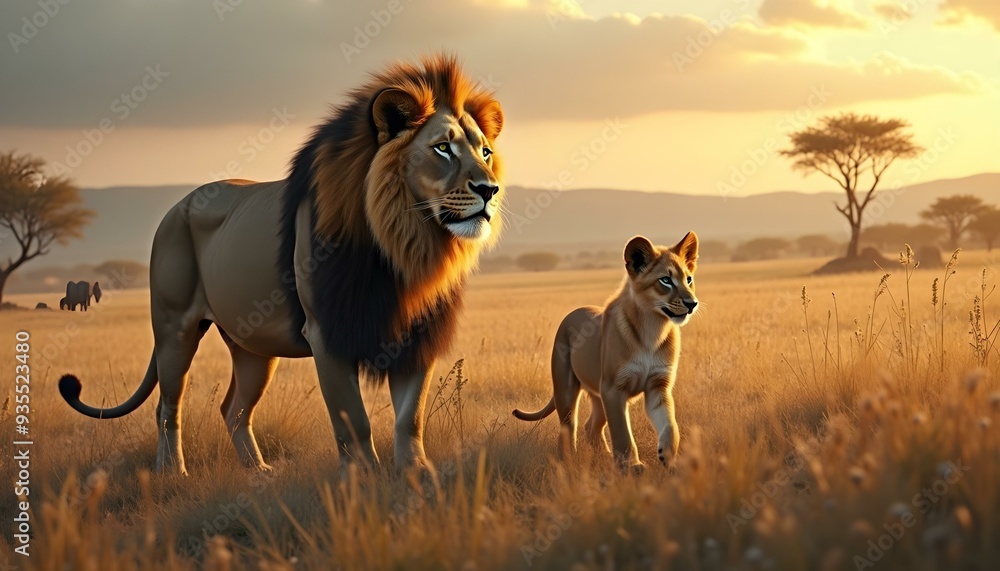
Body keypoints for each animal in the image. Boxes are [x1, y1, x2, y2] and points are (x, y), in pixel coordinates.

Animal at [58, 55, 505, 476]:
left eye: (485, 152)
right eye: (443, 148)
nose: (490, 189)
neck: (405, 245)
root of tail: (177, 206)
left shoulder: (417, 334)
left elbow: (409, 419)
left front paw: (417, 476)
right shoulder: (326, 333)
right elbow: (353, 421)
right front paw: (362, 481)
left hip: (252, 345)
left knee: (233, 409)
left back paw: (259, 472)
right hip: (174, 328)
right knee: (168, 406)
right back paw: (173, 472)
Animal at [513, 232, 699, 471]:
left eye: (689, 279)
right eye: (665, 280)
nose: (692, 303)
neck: (653, 327)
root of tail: (574, 312)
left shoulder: (658, 385)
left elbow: (671, 425)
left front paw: (668, 458)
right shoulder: (613, 388)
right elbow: (622, 433)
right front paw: (632, 466)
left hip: (598, 396)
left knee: (591, 426)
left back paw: (603, 455)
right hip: (566, 390)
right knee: (568, 429)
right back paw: (569, 461)